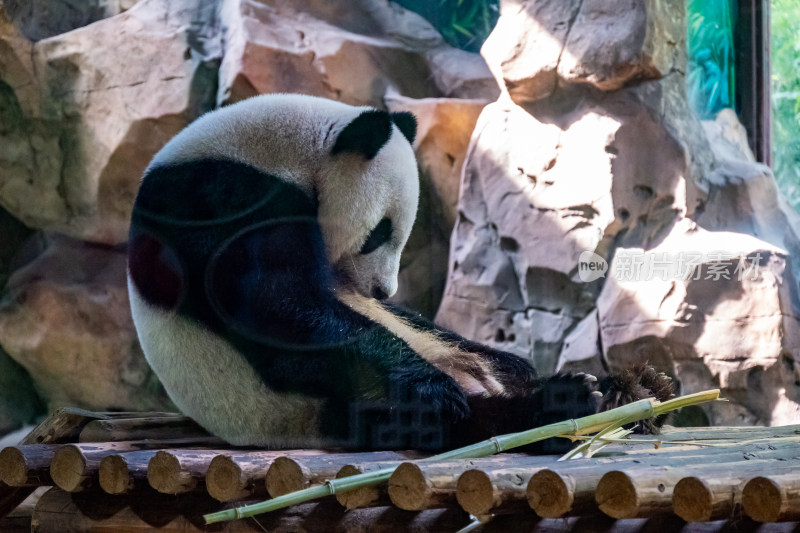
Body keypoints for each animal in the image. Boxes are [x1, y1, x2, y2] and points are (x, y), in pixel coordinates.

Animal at [128, 92, 672, 448]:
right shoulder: (216, 200)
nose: (380, 291)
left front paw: (520, 361)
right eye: (378, 233)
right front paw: (428, 384)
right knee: (442, 421)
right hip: (301, 407)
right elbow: (274, 304)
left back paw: (622, 388)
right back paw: (562, 403)